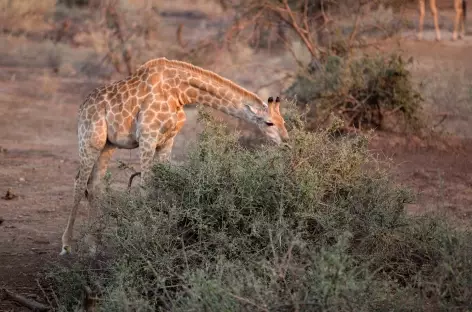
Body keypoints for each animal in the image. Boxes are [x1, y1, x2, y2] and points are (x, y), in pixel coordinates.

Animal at [59, 57, 288, 255]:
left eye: (283, 120)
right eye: (269, 123)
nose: (286, 141)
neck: (180, 92)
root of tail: (82, 107)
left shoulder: (167, 140)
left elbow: (162, 185)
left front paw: (161, 232)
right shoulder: (148, 136)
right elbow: (146, 188)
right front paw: (144, 235)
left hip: (108, 145)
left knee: (94, 185)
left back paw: (93, 244)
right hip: (91, 140)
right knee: (79, 183)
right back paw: (67, 245)